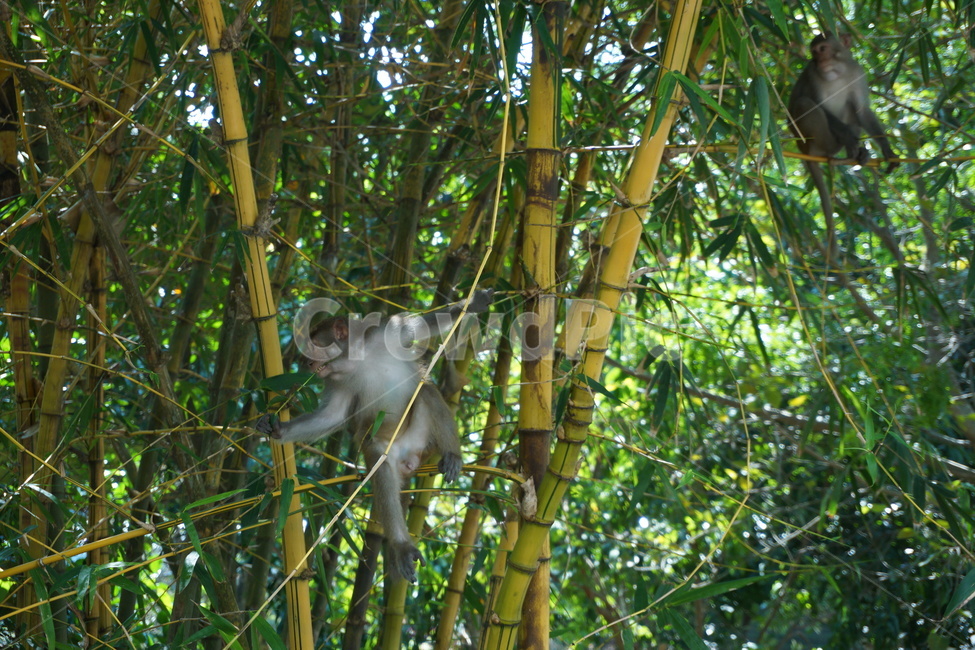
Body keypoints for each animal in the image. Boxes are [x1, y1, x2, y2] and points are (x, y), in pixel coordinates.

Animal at [258, 289, 493, 583]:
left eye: (314, 349)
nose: (309, 364)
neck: (356, 361)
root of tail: (410, 458)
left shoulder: (384, 334)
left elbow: (425, 326)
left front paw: (471, 304)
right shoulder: (336, 379)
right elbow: (332, 416)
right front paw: (277, 428)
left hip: (422, 438)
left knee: (426, 391)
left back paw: (452, 455)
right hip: (393, 451)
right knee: (377, 455)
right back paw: (401, 544)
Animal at [787, 32, 899, 255]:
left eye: (822, 49)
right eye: (814, 52)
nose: (819, 61)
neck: (838, 72)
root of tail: (802, 148)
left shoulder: (857, 73)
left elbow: (862, 111)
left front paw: (887, 149)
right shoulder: (812, 74)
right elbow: (816, 104)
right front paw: (848, 138)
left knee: (851, 108)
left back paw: (853, 155)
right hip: (817, 140)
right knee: (805, 104)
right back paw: (839, 150)